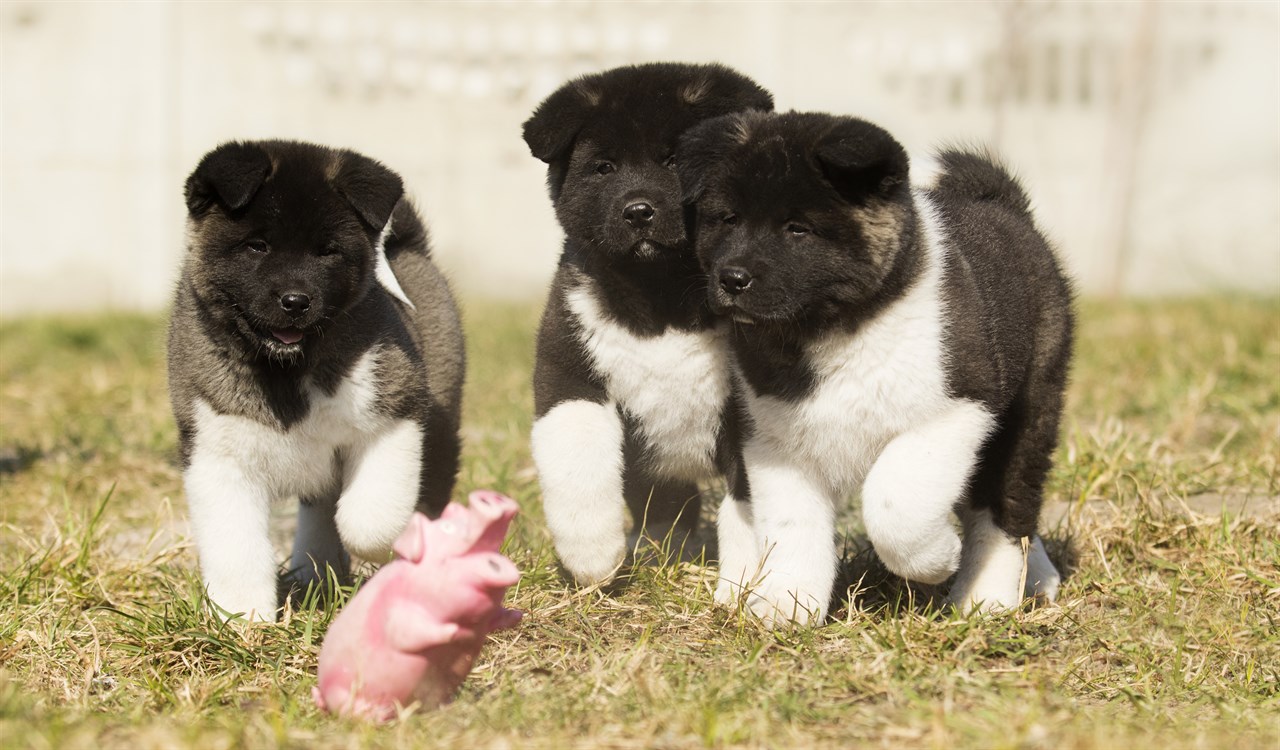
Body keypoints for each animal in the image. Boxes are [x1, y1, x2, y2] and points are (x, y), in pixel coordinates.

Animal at [168, 140, 465, 619]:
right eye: (257, 246)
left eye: (327, 251)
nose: (295, 301)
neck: (288, 369)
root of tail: (410, 249)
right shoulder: (218, 452)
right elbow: (236, 549)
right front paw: (242, 619)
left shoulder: (395, 413)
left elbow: (370, 520)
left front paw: (387, 546)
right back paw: (315, 573)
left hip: (439, 424)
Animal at [519, 61, 768, 581]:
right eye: (604, 168)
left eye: (673, 161)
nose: (638, 211)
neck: (661, 300)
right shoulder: (569, 365)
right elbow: (577, 459)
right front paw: (591, 558)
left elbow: (746, 505)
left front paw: (743, 586)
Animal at [680, 112, 1070, 624]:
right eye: (728, 219)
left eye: (797, 229)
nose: (732, 279)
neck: (834, 329)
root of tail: (1007, 206)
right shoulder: (773, 439)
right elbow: (792, 527)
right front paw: (787, 605)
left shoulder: (954, 412)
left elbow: (895, 505)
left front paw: (937, 560)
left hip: (1029, 409)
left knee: (1006, 507)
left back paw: (988, 597)